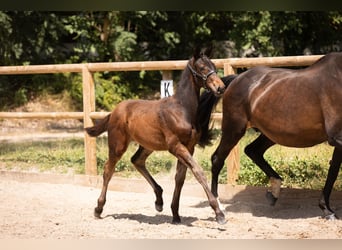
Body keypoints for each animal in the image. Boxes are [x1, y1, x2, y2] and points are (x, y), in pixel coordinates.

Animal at [85, 47, 227, 225]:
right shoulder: (176, 146)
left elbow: (180, 178)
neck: (182, 110)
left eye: (213, 65)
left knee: (137, 160)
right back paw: (98, 208)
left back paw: (159, 200)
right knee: (108, 170)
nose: (220, 87)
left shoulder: (189, 147)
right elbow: (198, 171)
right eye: (202, 68)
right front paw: (219, 214)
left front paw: (175, 214)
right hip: (117, 145)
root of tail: (114, 111)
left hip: (147, 145)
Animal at [200, 51, 342, 220]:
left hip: (273, 134)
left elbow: (333, 170)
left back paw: (274, 192)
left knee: (252, 150)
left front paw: (327, 209)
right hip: (234, 129)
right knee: (217, 159)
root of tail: (236, 80)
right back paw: (219, 208)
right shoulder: (336, 136)